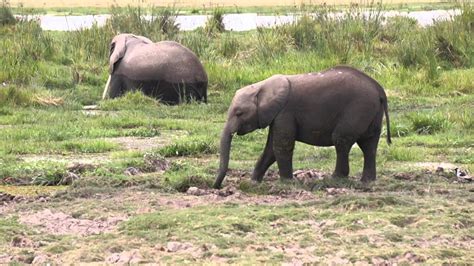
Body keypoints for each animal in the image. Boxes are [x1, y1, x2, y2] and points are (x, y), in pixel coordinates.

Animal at [213, 65, 390, 188]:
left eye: (239, 113)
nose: (217, 187)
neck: (262, 87)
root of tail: (379, 89)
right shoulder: (276, 116)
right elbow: (270, 149)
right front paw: (254, 182)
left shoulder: (285, 112)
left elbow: (281, 146)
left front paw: (286, 182)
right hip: (371, 112)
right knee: (369, 145)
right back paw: (367, 181)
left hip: (358, 108)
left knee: (341, 140)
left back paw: (336, 178)